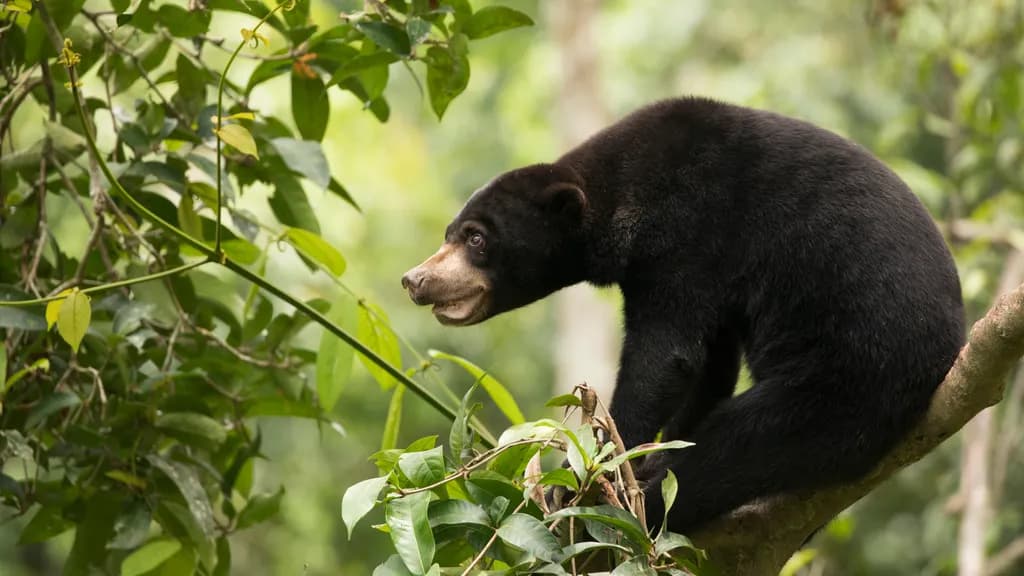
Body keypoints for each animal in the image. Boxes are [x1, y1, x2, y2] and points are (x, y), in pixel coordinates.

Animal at [401, 97, 965, 533]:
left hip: (848, 375)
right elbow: (709, 366)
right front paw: (642, 459)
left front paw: (590, 474)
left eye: (476, 238)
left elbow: (666, 357)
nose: (415, 279)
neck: (620, 199)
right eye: (450, 233)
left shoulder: (687, 236)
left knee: (739, 446)